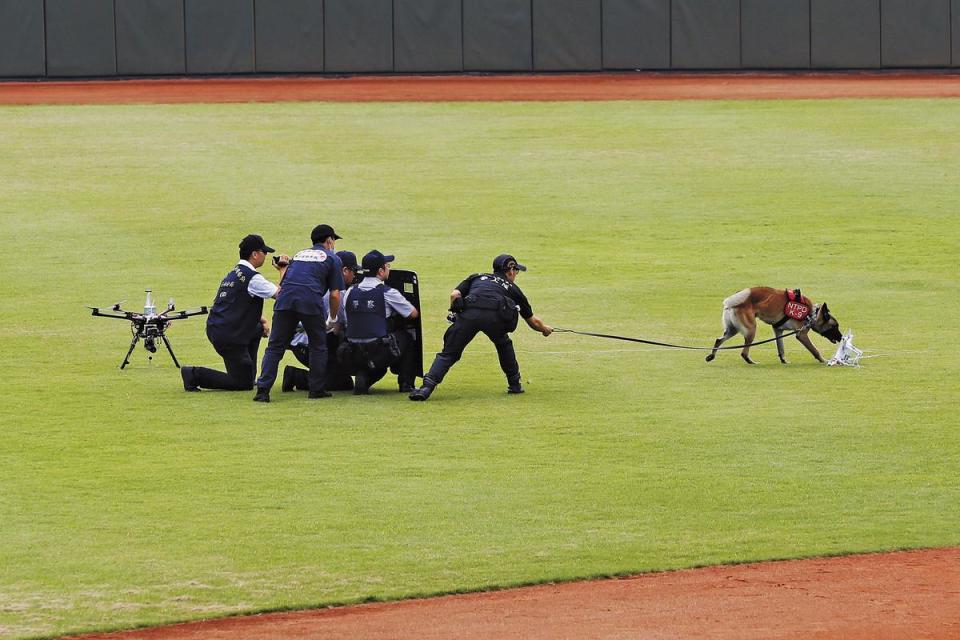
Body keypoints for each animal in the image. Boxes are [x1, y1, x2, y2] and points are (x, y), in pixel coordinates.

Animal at [704, 286, 840, 364]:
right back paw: (751, 362)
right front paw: (824, 361)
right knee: (744, 352)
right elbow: (814, 350)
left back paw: (711, 356)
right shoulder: (801, 334)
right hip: (751, 329)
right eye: (835, 326)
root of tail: (734, 299)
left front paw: (783, 361)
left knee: (718, 340)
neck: (811, 313)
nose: (841, 337)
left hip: (733, 329)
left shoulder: (778, 330)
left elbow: (781, 349)